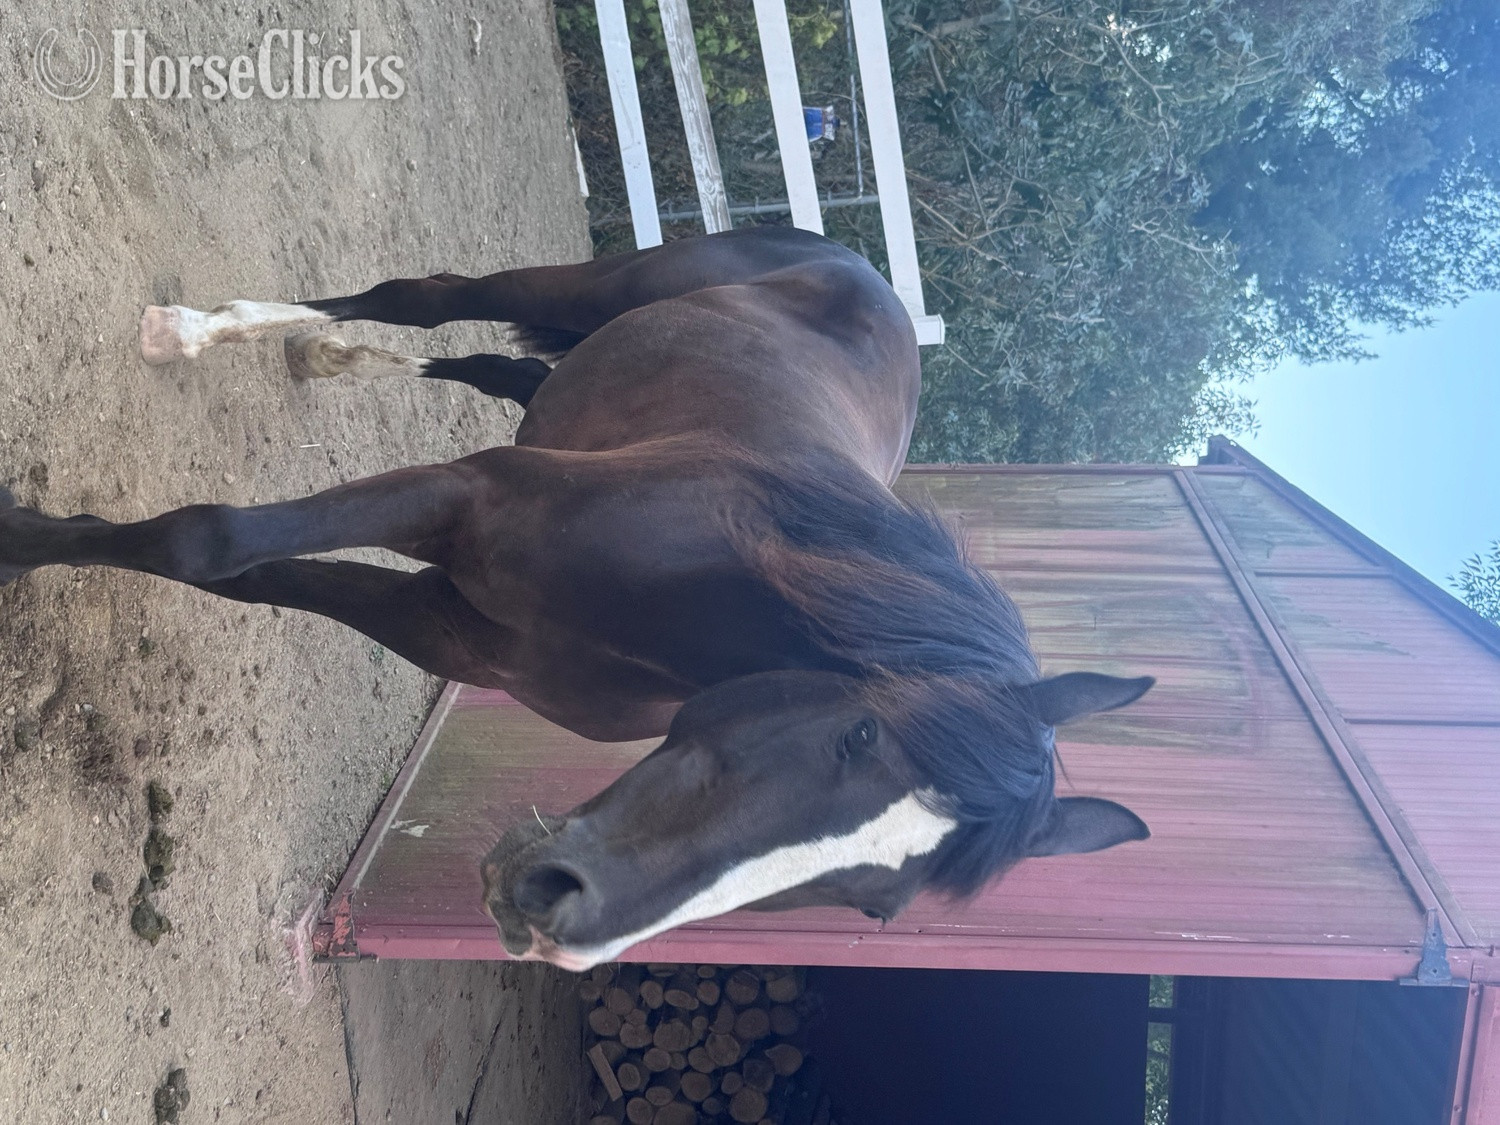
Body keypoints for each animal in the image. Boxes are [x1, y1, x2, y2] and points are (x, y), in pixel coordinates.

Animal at [0, 226, 1152, 971]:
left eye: (874, 905)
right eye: (858, 735)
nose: (559, 919)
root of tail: (868, 271)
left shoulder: (448, 631)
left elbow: (253, 577)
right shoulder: (458, 501)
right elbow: (211, 541)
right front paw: (16, 538)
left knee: (478, 362)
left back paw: (319, 352)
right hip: (586, 288)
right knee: (424, 294)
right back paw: (204, 331)